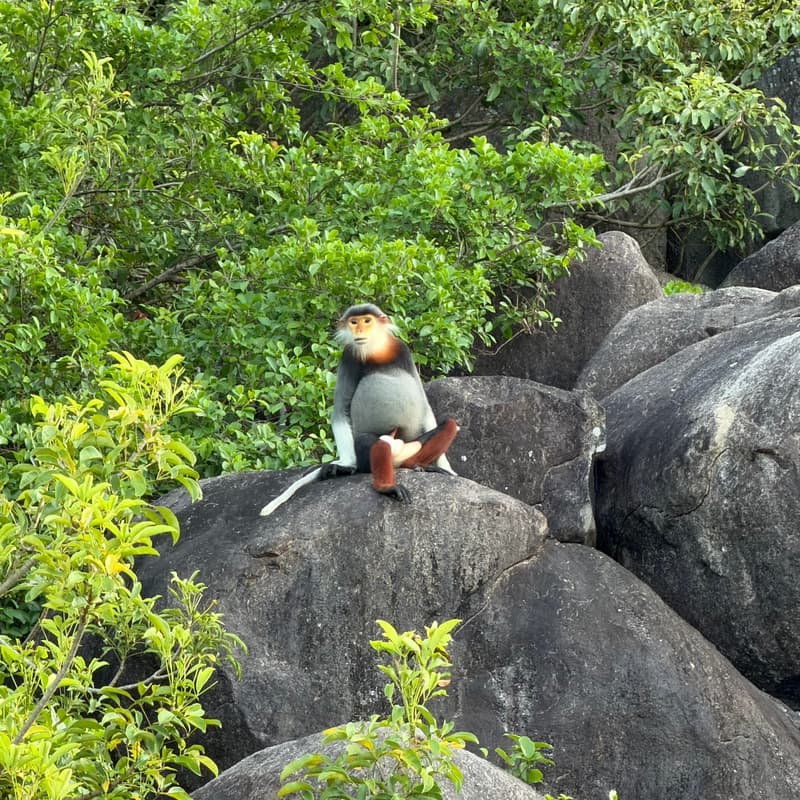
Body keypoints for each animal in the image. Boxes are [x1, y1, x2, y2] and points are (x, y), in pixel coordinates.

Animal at [259, 303, 457, 516]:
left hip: (412, 445)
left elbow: (425, 405)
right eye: (354, 322)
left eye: (366, 321)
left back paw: (419, 465)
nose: (359, 330)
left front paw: (446, 467)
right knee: (378, 444)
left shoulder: (402, 350)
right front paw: (346, 465)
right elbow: (340, 411)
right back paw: (386, 486)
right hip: (370, 454)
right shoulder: (348, 356)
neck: (376, 350)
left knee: (450, 425)